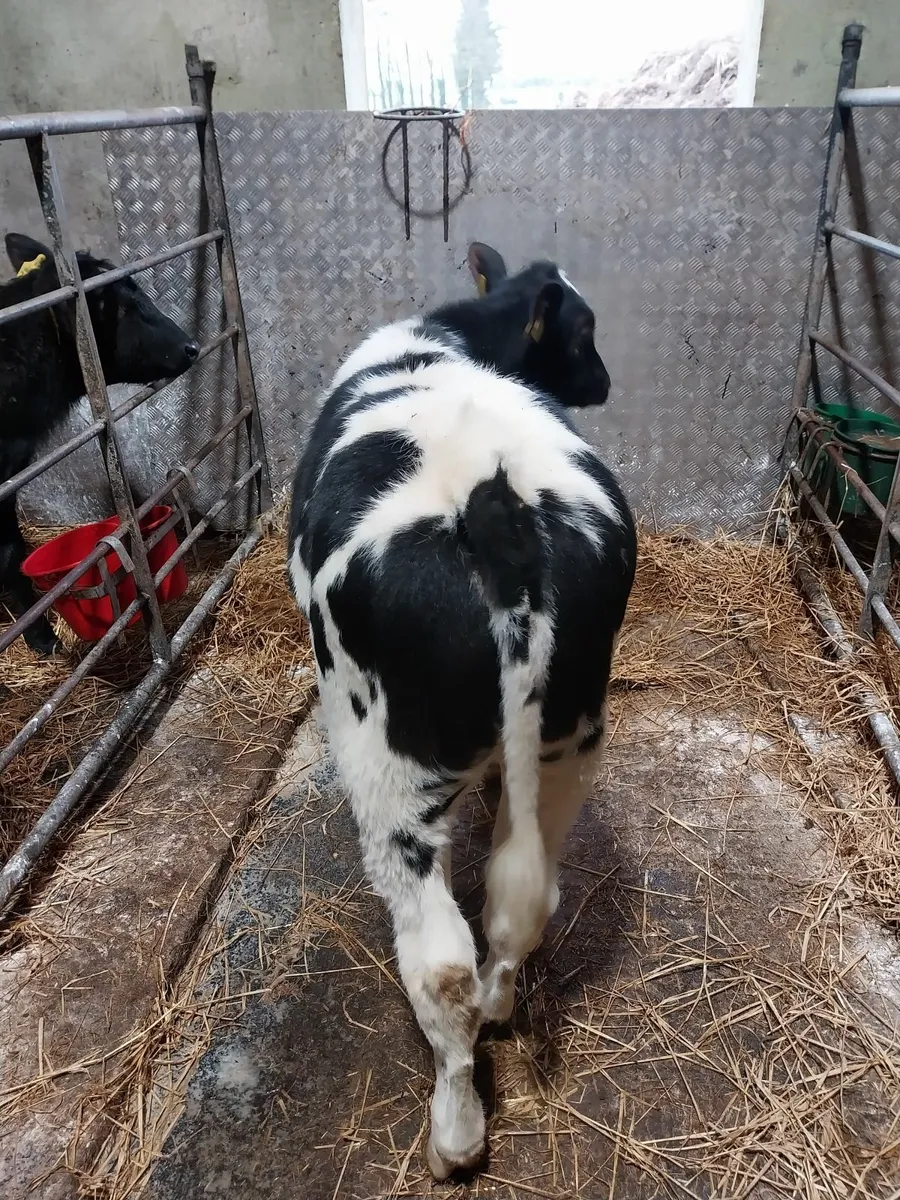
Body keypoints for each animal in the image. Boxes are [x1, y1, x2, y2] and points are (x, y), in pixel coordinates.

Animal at [287, 242, 636, 1178]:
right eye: (583, 333)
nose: (605, 379)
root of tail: (494, 505)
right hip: (570, 736)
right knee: (523, 895)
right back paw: (502, 1004)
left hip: (387, 769)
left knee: (441, 963)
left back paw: (456, 1134)